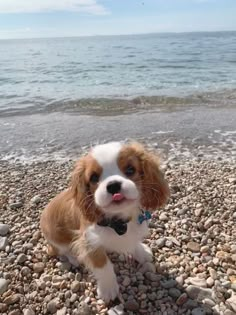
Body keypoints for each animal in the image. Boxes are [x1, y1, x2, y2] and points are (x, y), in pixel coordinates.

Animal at [40, 142, 170, 302]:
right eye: (94, 177)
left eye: (130, 169)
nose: (113, 185)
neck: (118, 221)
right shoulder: (89, 241)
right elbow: (103, 266)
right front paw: (108, 289)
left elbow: (133, 242)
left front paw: (141, 252)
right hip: (57, 238)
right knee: (60, 250)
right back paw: (74, 258)